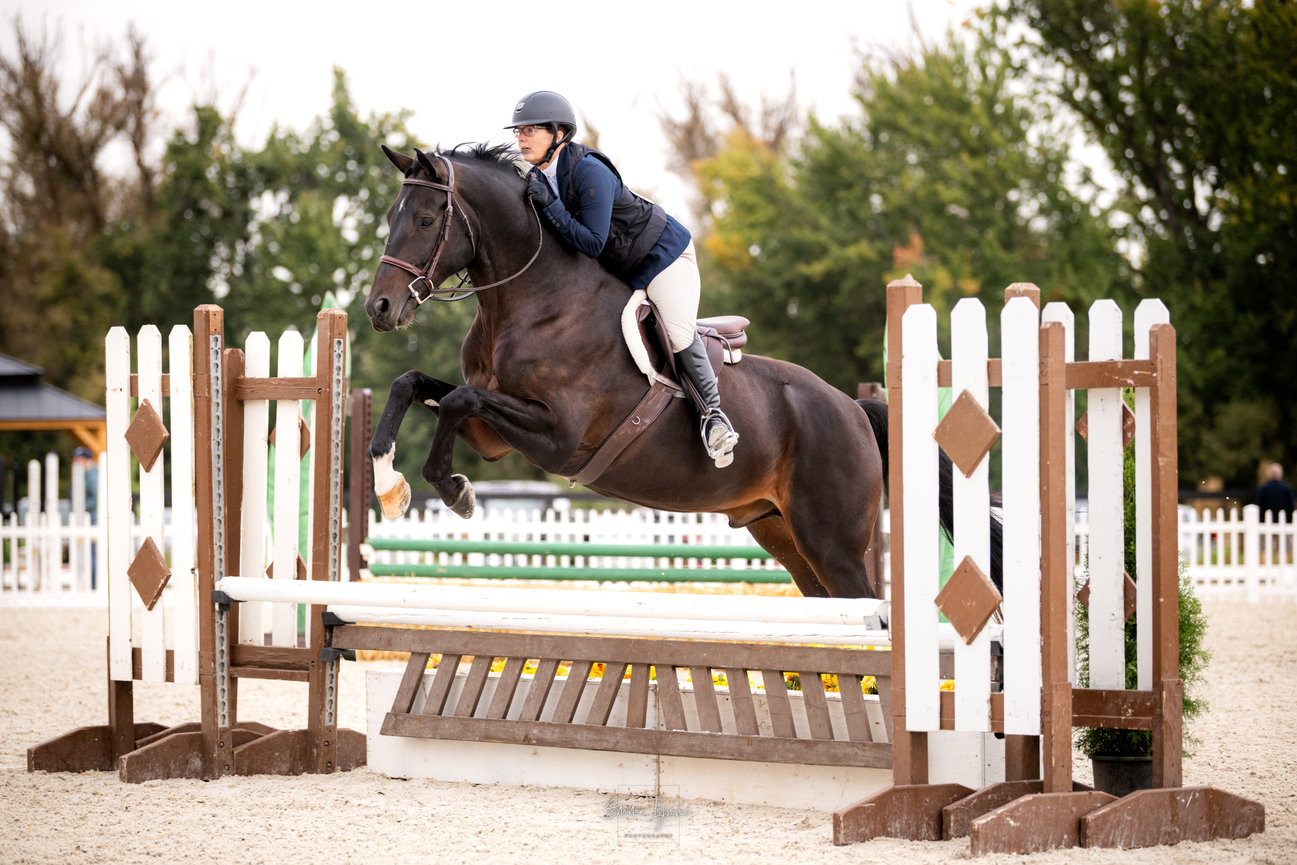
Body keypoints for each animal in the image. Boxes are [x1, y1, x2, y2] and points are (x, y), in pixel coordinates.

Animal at [363, 143, 985, 600]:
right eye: (391, 218)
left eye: (425, 219)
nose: (380, 309)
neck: (532, 301)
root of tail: (853, 408)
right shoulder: (494, 436)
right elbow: (415, 384)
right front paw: (390, 485)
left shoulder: (556, 437)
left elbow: (460, 400)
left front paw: (454, 490)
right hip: (782, 533)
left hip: (833, 543)